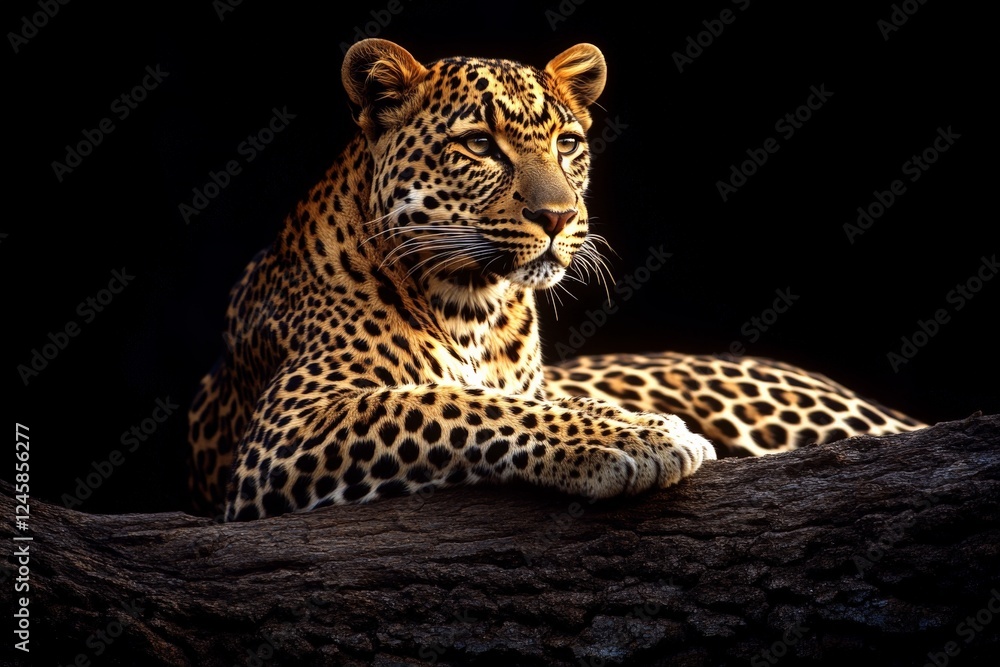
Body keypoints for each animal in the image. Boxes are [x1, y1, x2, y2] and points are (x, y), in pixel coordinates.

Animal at [187, 38, 924, 521]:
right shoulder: (287, 428)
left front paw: (633, 423)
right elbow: (454, 402)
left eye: (567, 143)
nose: (558, 215)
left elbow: (529, 399)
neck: (473, 307)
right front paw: (636, 437)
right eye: (479, 145)